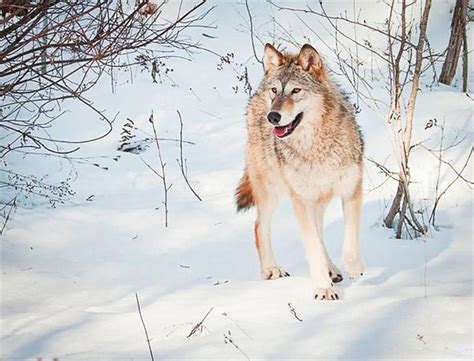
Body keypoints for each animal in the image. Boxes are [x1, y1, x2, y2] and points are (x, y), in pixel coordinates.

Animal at [235, 43, 364, 300]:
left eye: (296, 91)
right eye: (275, 91)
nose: (273, 116)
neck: (316, 147)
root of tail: (256, 93)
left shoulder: (351, 190)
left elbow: (349, 242)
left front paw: (354, 268)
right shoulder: (300, 201)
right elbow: (312, 247)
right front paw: (323, 288)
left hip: (317, 200)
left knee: (319, 233)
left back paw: (332, 269)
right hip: (272, 192)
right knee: (259, 226)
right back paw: (272, 269)